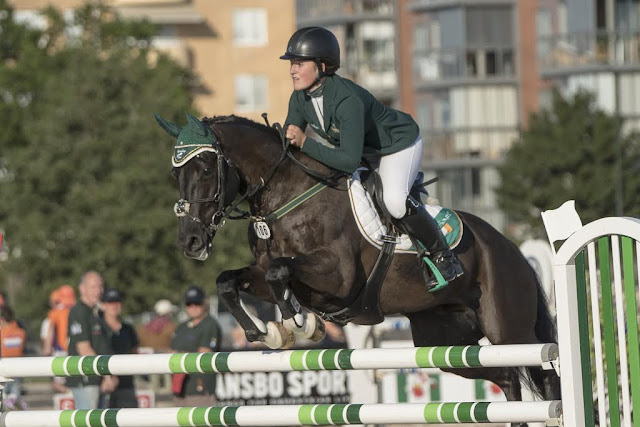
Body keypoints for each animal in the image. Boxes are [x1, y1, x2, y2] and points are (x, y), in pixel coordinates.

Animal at [156, 113, 561, 421]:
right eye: (176, 176)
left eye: (205, 168)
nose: (190, 241)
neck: (286, 195)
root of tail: (512, 249)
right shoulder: (266, 272)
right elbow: (230, 281)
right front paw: (267, 332)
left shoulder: (337, 277)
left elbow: (280, 274)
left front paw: (299, 324)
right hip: (448, 342)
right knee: (507, 377)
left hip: (510, 331)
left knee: (546, 377)